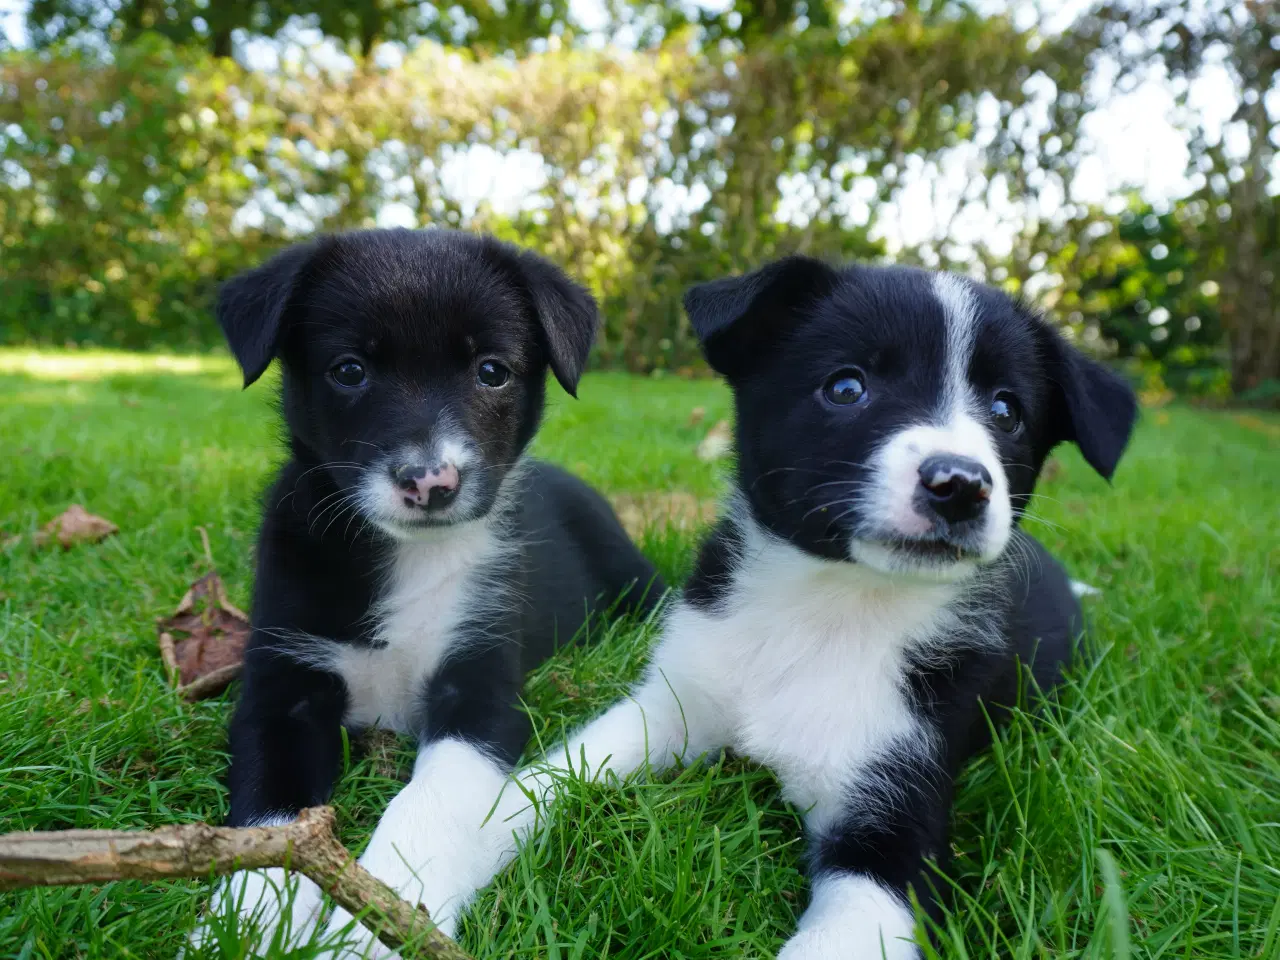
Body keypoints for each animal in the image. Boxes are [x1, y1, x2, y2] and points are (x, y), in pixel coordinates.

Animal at [194, 227, 670, 957]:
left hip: (628, 569)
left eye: (492, 371)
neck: (411, 557)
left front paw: (377, 924)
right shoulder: (282, 686)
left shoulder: (480, 690)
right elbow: (270, 816)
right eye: (350, 370)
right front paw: (246, 921)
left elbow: (425, 801)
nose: (430, 482)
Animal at [424, 259, 1136, 957]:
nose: (960, 485)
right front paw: (418, 879)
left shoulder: (897, 813)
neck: (827, 606)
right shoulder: (670, 703)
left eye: (1007, 410)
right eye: (846, 388)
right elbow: (531, 788)